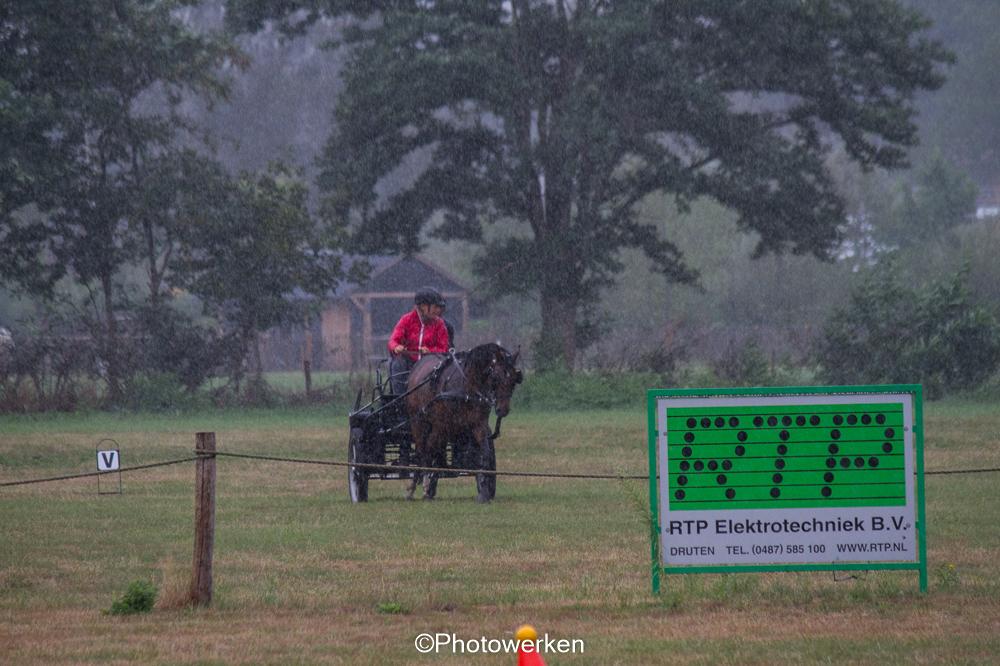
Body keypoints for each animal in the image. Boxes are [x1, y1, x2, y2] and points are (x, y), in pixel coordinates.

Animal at [403, 343, 522, 502]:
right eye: (496, 377)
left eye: (514, 379)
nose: (502, 409)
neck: (468, 387)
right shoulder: (441, 425)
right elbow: (428, 452)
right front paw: (425, 487)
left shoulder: (478, 425)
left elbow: (484, 454)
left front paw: (484, 491)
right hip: (420, 422)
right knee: (422, 451)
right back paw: (416, 487)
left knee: (433, 452)